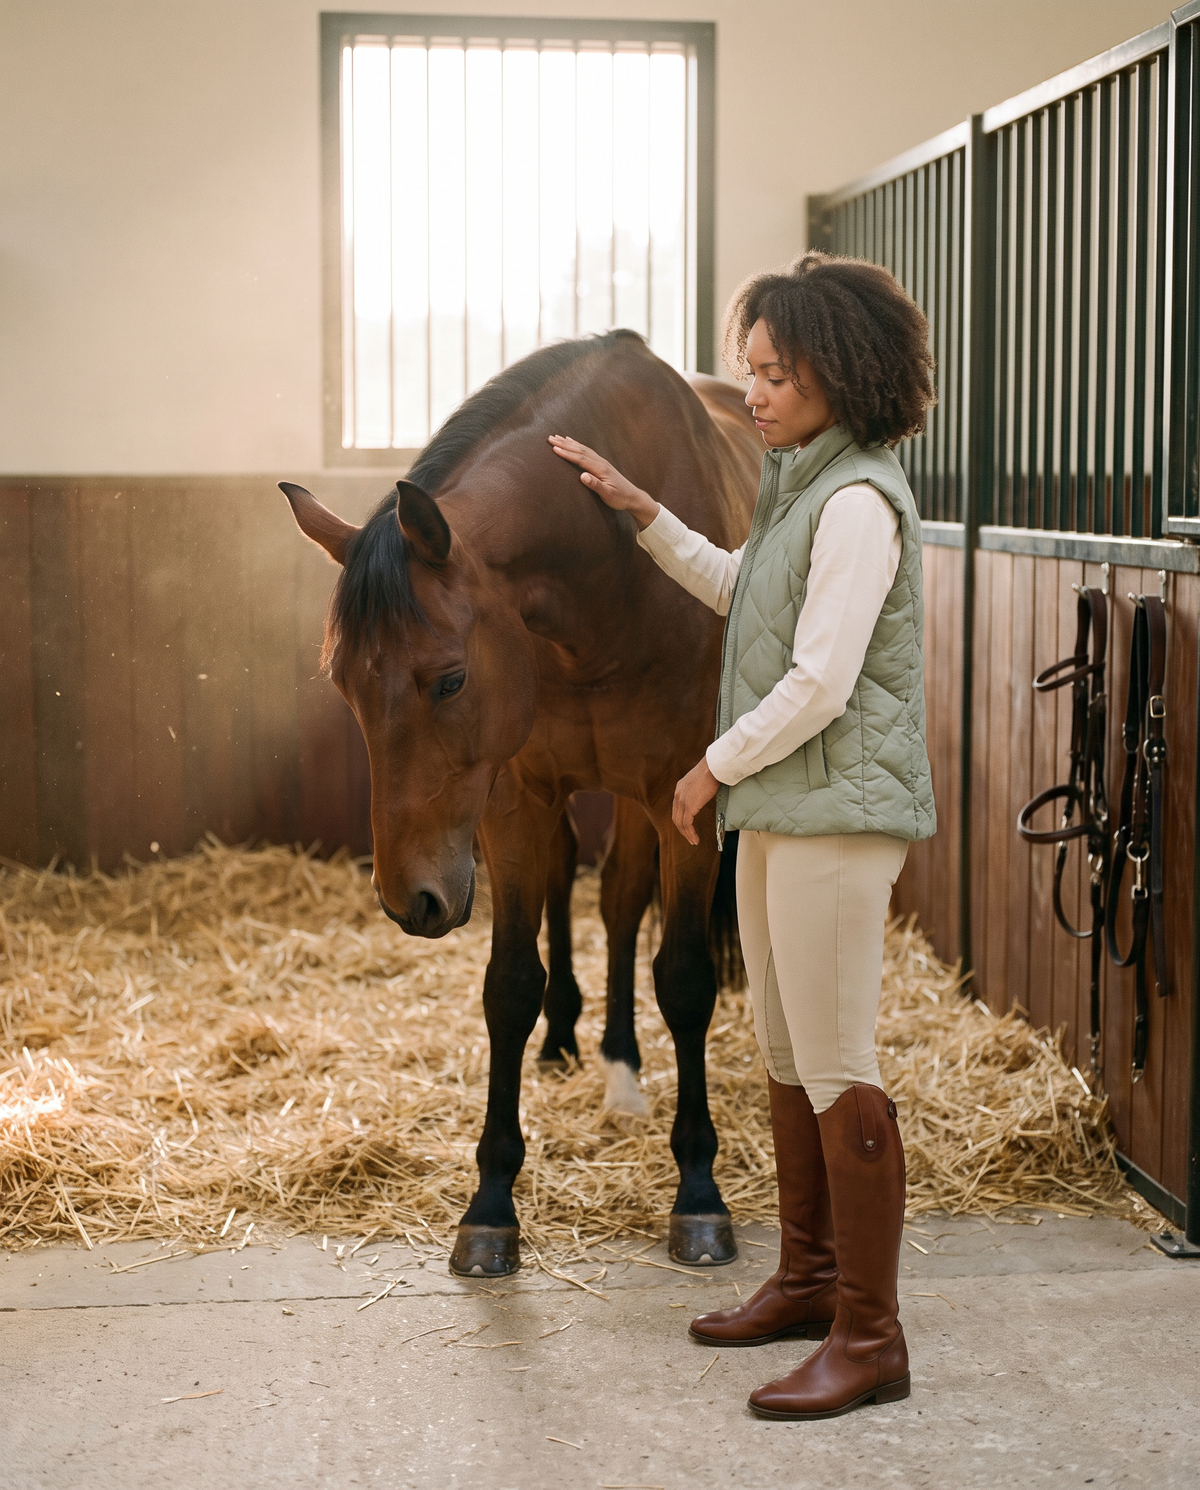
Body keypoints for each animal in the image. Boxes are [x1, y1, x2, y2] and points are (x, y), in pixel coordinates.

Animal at [282, 331, 759, 1275]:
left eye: (450, 680)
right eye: (344, 685)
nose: (412, 899)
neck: (610, 575)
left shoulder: (681, 800)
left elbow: (684, 979)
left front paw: (698, 1190)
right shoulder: (514, 803)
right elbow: (510, 985)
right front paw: (491, 1203)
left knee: (623, 904)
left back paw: (621, 1067)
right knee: (587, 891)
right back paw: (576, 1043)